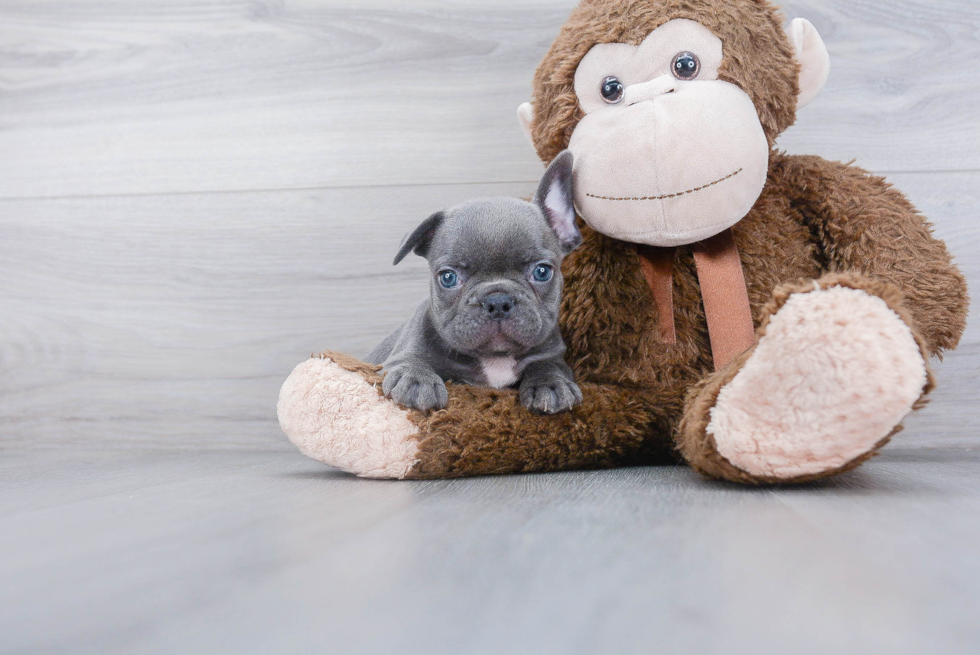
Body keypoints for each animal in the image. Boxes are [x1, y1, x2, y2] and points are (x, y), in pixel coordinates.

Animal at [366, 151, 580, 412]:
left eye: (542, 272)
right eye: (448, 277)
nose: (497, 301)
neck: (495, 358)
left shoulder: (552, 354)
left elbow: (549, 365)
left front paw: (551, 384)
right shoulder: (402, 352)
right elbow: (409, 360)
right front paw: (416, 380)